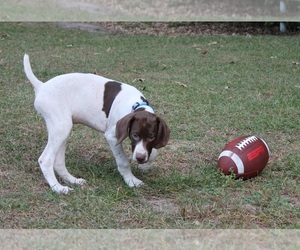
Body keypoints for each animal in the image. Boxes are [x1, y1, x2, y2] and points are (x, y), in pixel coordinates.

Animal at [23, 53, 169, 194]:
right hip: (61, 127)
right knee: (45, 160)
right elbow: (123, 161)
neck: (135, 105)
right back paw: (58, 188)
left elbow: (154, 151)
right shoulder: (112, 136)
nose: (140, 158)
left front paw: (145, 164)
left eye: (151, 136)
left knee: (58, 162)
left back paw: (72, 180)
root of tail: (41, 86)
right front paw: (131, 180)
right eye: (134, 135)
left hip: (62, 130)